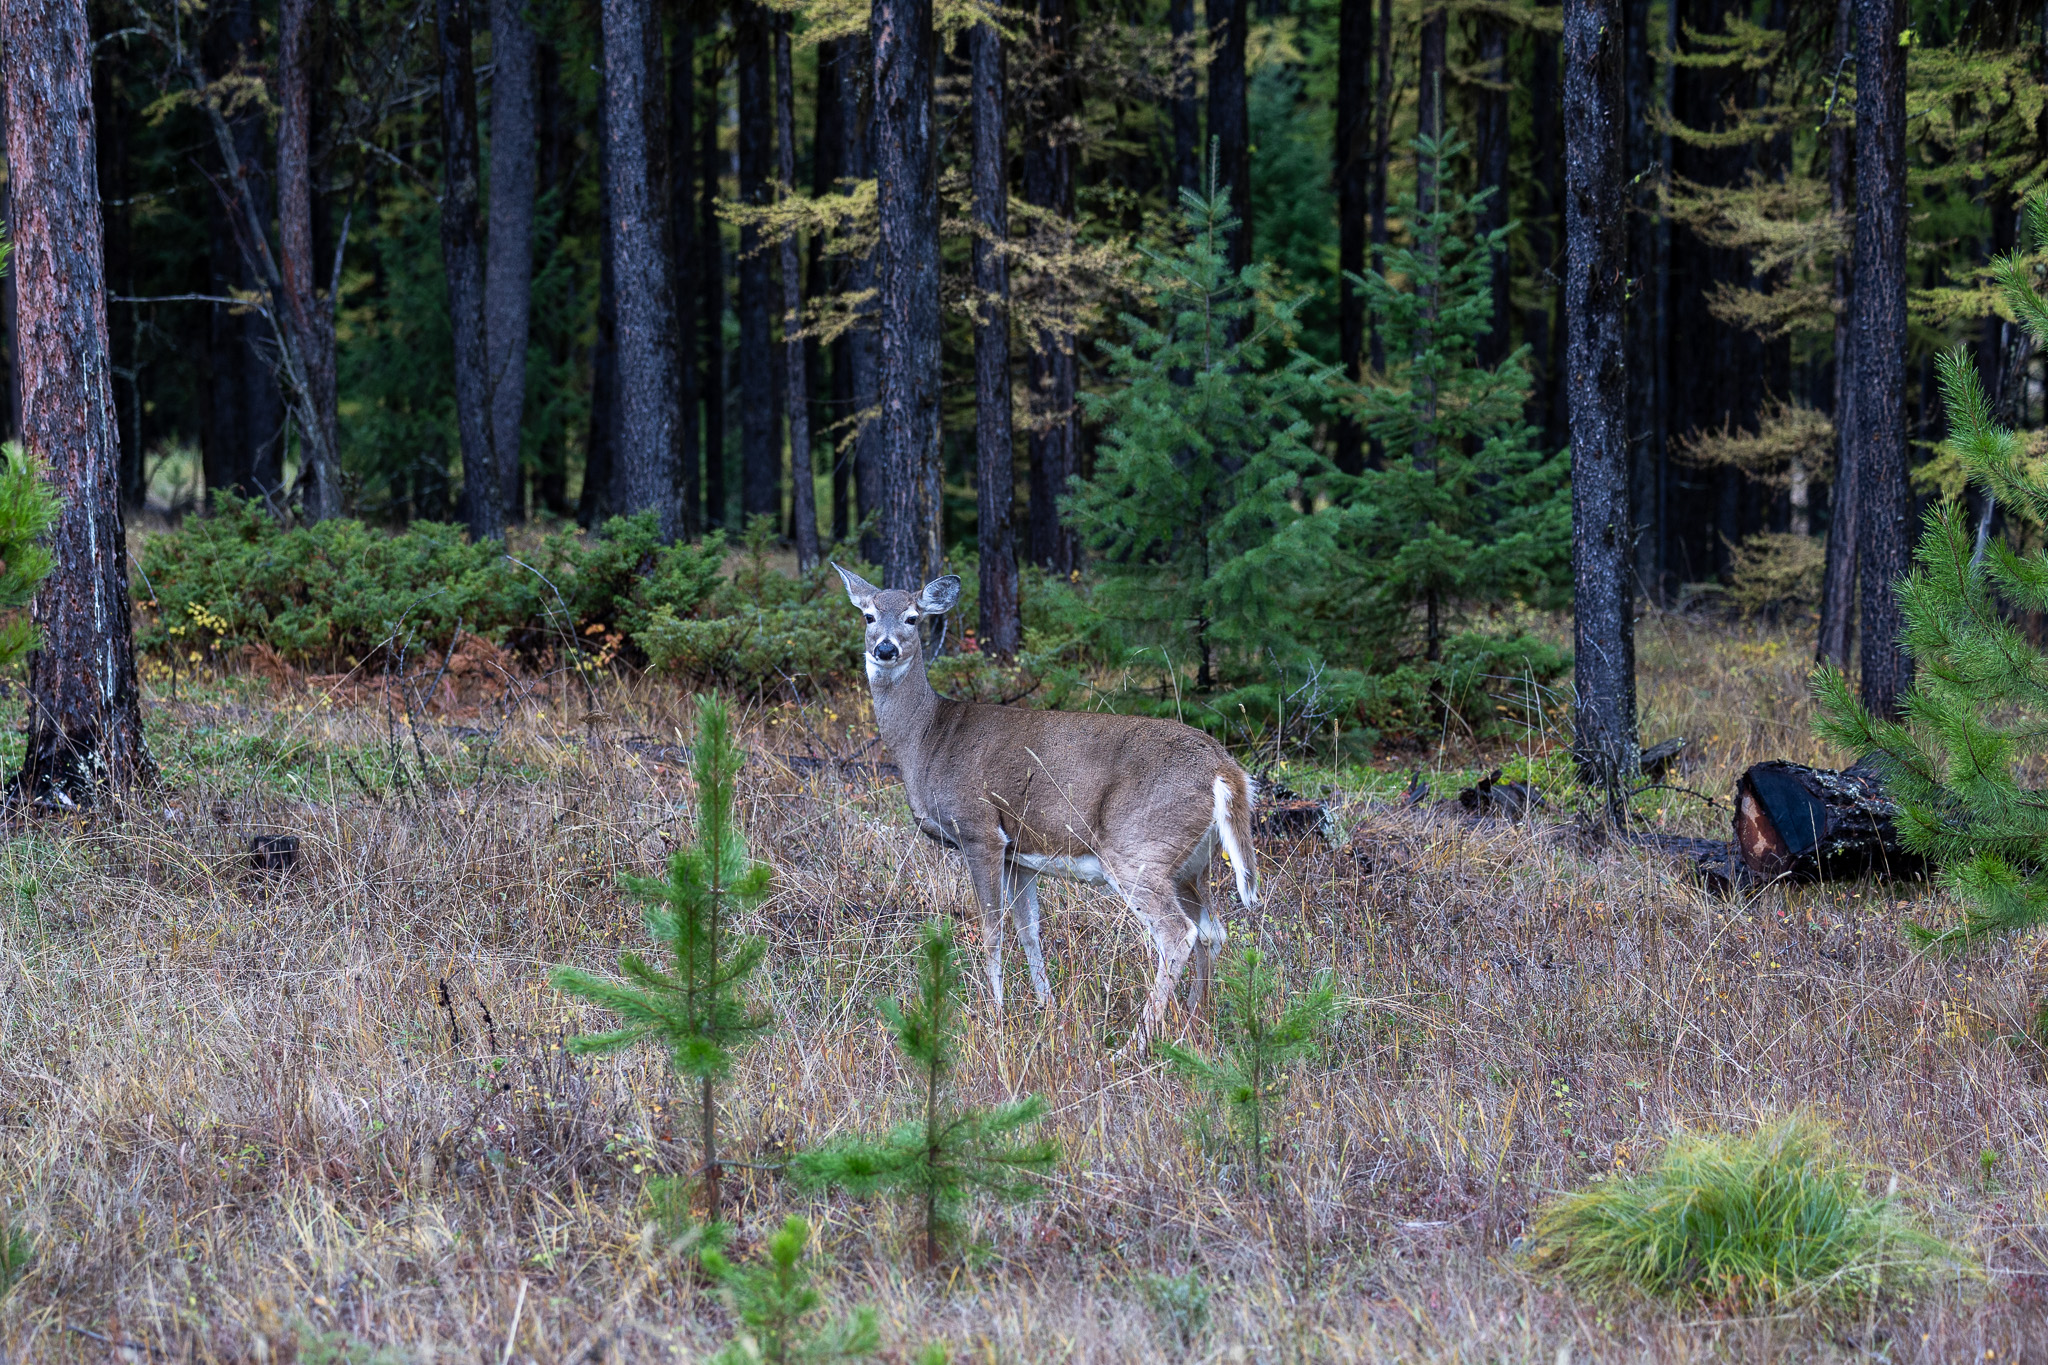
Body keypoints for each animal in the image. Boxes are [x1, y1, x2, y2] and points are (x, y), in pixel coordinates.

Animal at [834, 563, 1260, 1049]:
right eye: (868, 616)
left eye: (912, 617)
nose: (885, 648)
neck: (927, 740)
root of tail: (1224, 770)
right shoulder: (1020, 854)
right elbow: (1029, 930)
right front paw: (1047, 1010)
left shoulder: (980, 829)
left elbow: (992, 931)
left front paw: (996, 1016)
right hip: (1192, 863)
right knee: (1213, 932)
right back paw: (1193, 1023)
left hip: (1139, 848)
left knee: (1178, 934)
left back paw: (1134, 1043)